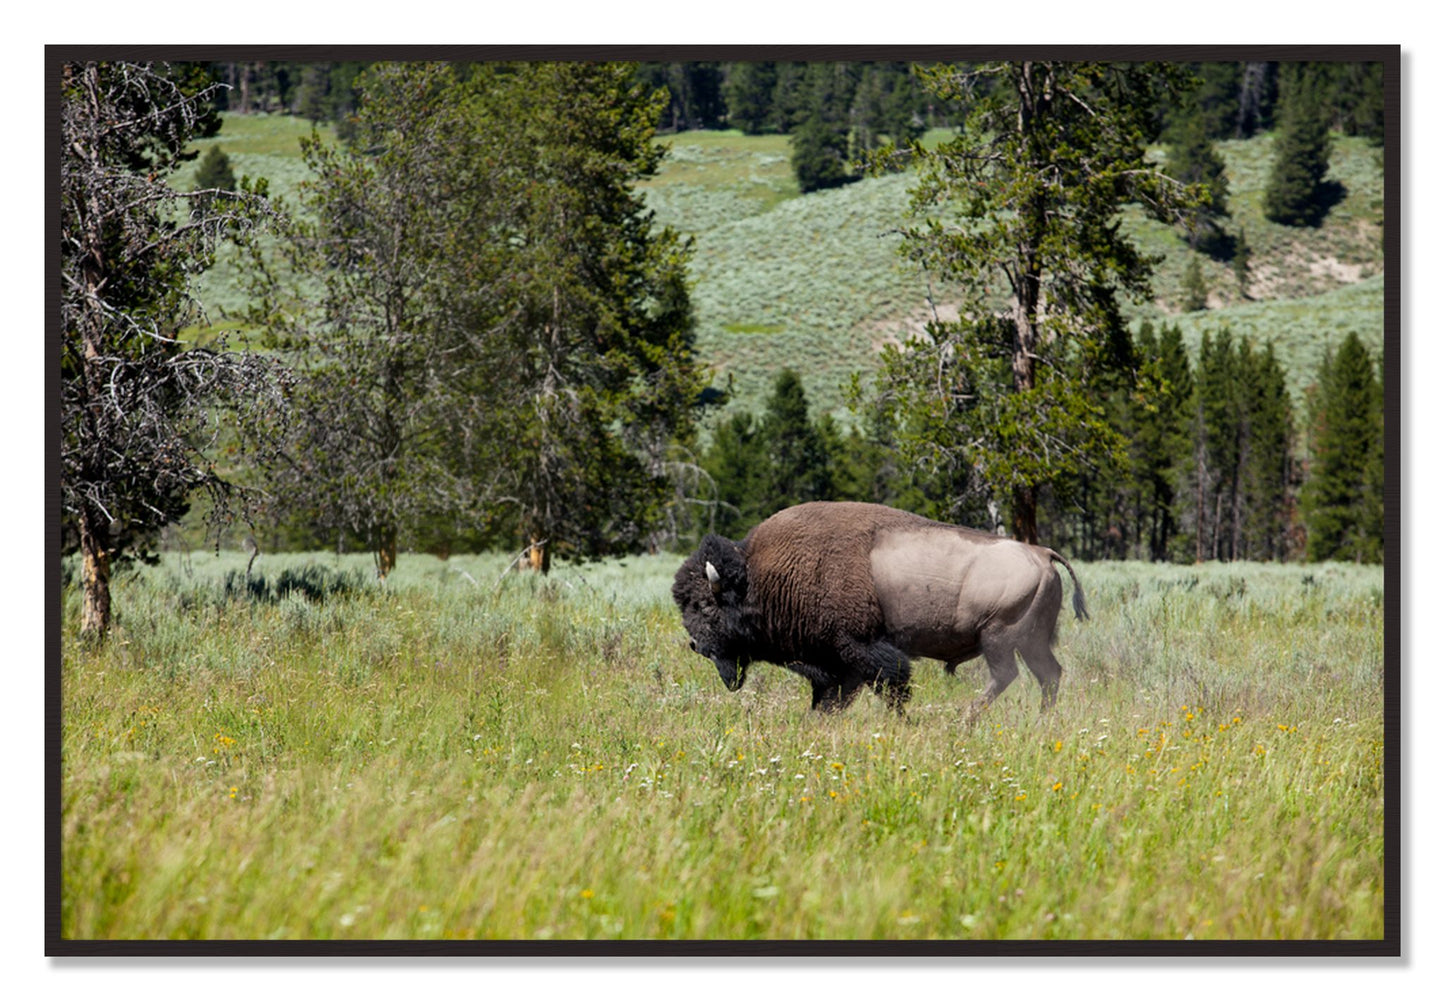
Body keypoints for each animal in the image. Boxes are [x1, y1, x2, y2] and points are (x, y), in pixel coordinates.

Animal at [672, 501, 1088, 722]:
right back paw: (1041, 720)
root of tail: (1042, 553)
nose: (696, 645)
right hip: (1031, 641)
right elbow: (832, 697)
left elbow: (891, 685)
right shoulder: (836, 664)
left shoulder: (861, 649)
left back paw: (965, 719)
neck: (760, 576)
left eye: (706, 606)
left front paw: (902, 721)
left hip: (998, 637)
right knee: (1048, 675)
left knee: (1006, 675)